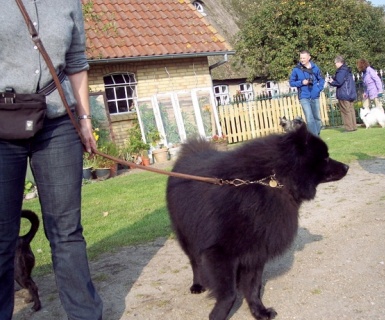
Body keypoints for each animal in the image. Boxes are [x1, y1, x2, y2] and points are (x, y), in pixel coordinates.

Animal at [166, 124, 346, 318]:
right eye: (325, 157)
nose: (347, 166)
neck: (270, 180)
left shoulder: (256, 251)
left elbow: (253, 287)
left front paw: (259, 311)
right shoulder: (220, 252)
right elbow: (229, 294)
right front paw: (217, 315)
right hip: (187, 236)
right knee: (195, 262)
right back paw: (197, 284)